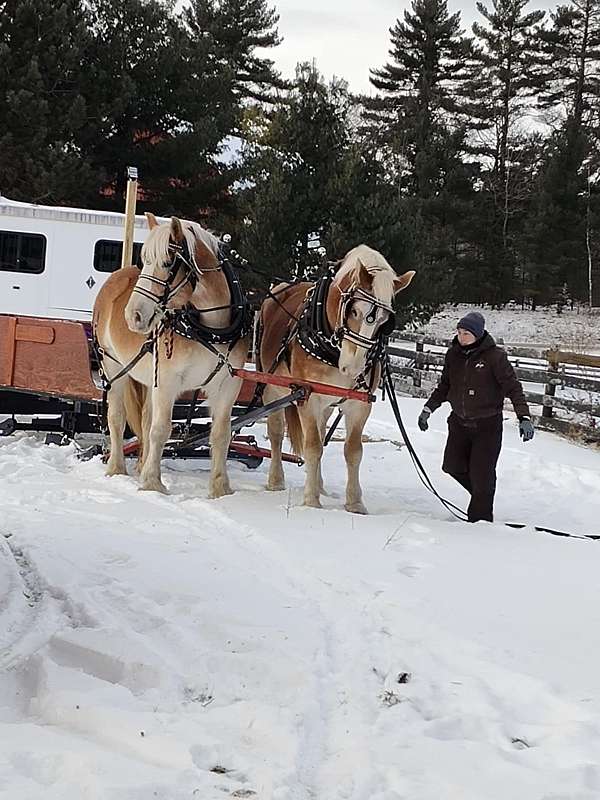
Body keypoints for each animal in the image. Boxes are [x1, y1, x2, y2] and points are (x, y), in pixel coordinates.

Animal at [91, 216, 248, 496]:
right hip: (113, 366)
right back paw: (116, 468)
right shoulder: (168, 381)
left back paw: (140, 465)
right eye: (145, 261)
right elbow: (161, 429)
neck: (211, 328)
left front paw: (221, 489)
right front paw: (153, 483)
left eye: (166, 263)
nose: (133, 315)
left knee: (144, 420)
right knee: (117, 418)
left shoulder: (228, 384)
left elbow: (220, 434)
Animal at [258, 244, 418, 516]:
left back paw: (319, 484)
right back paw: (276, 480)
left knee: (322, 433)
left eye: (384, 322)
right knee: (277, 433)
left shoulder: (359, 405)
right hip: (273, 388)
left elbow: (353, 451)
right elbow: (312, 446)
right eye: (354, 310)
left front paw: (354, 503)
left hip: (327, 405)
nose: (352, 367)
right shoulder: (308, 397)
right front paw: (311, 500)